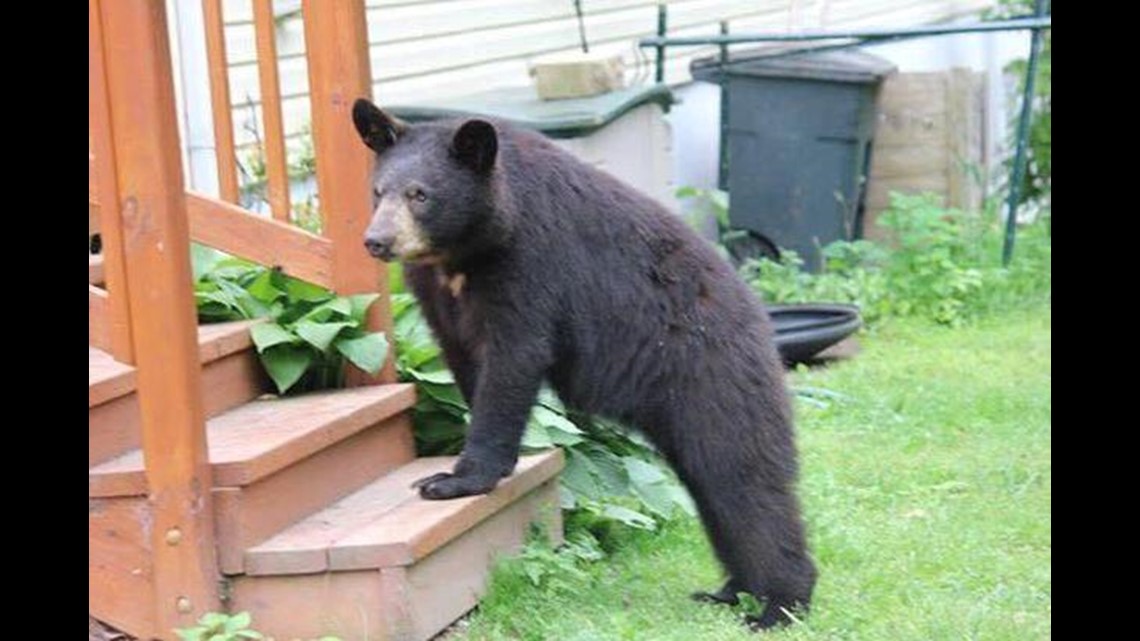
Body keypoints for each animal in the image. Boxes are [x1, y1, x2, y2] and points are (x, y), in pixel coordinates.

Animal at [352, 98, 817, 630]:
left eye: (420, 195)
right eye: (378, 191)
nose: (377, 240)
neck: (465, 251)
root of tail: (760, 319)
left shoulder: (530, 261)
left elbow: (515, 358)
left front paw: (455, 479)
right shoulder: (436, 292)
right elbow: (464, 359)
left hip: (714, 377)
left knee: (742, 478)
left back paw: (778, 605)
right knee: (713, 491)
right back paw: (728, 592)